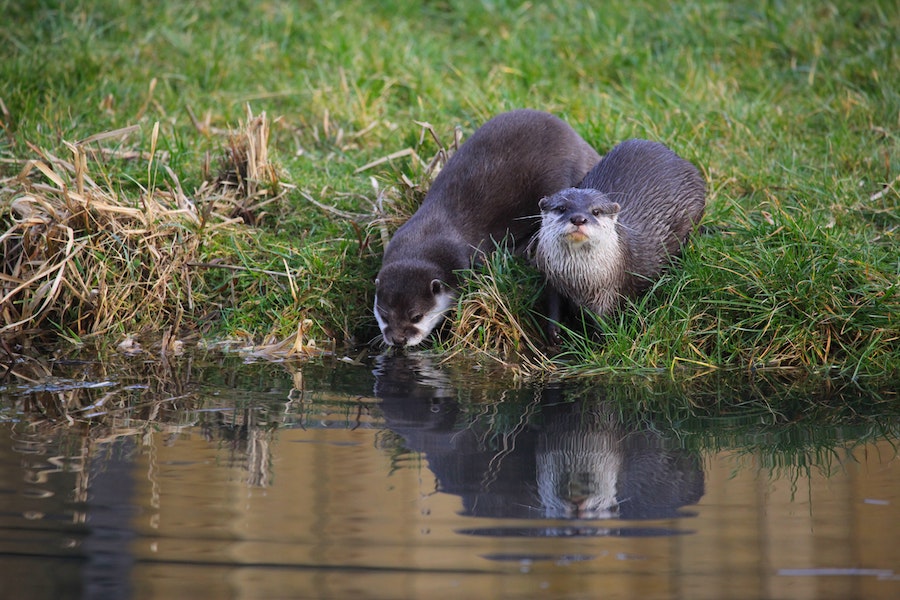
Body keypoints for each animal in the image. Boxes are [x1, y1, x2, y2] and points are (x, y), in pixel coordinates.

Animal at [536, 138, 704, 340]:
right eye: (561, 208)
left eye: (596, 211)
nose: (578, 218)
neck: (577, 281)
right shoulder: (552, 280)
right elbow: (553, 306)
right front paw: (554, 333)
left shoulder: (609, 291)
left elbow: (602, 321)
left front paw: (599, 342)